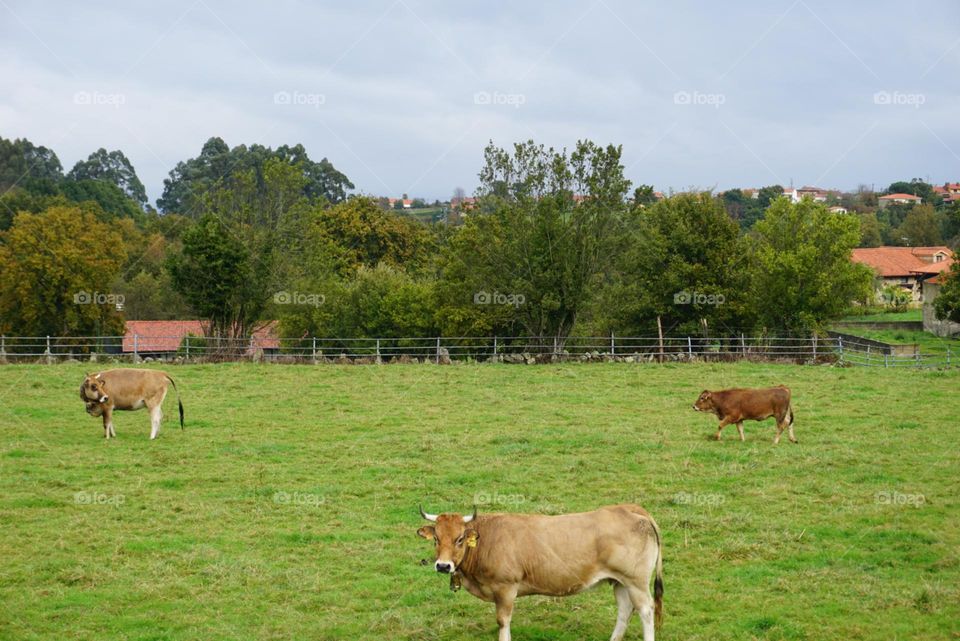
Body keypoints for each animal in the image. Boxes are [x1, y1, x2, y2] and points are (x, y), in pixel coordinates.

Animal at [416, 504, 664, 640]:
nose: (443, 566)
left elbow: (503, 621)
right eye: (436, 538)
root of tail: (629, 508)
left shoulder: (506, 588)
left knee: (646, 611)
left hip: (636, 581)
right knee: (624, 611)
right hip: (620, 581)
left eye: (459, 539)